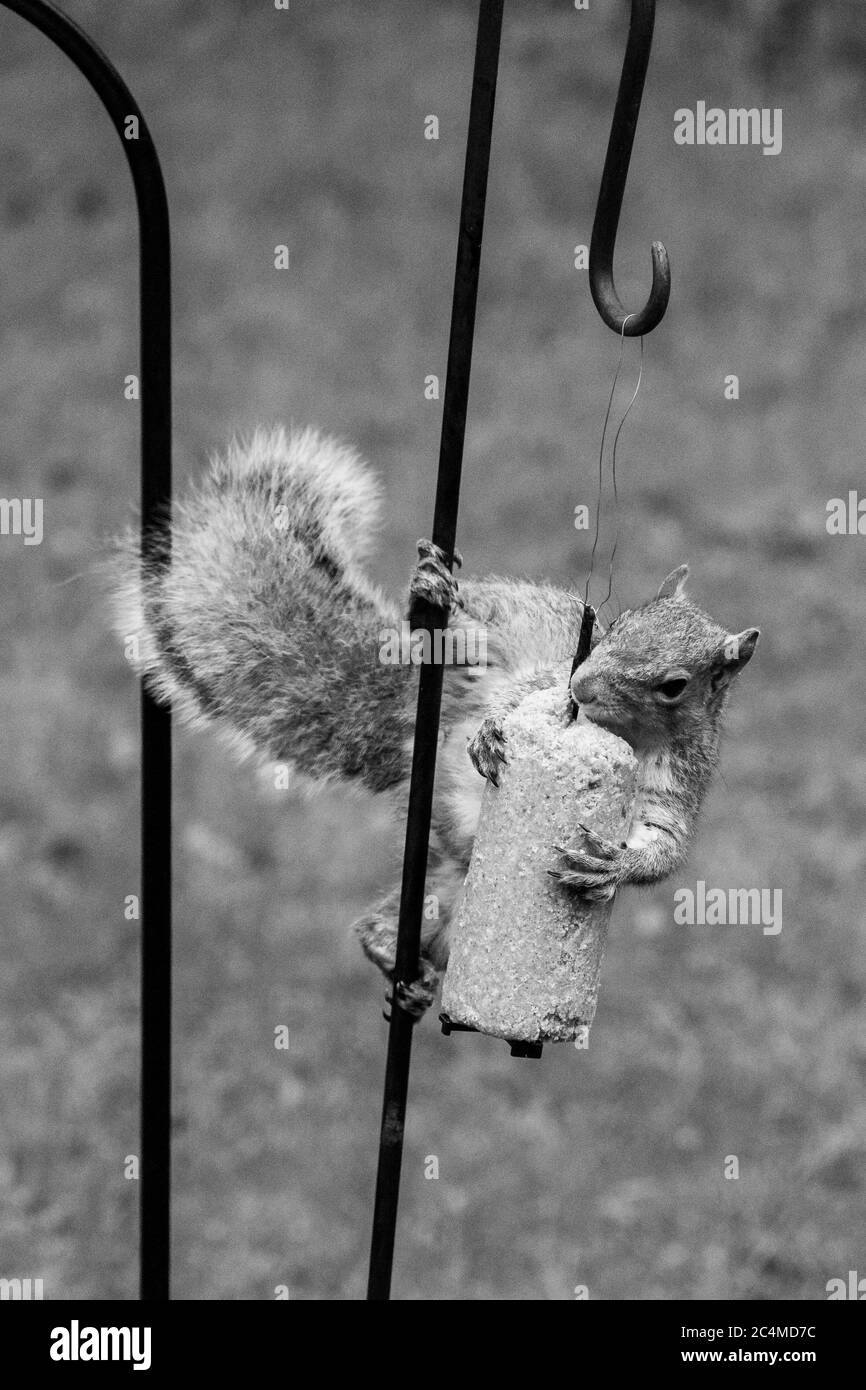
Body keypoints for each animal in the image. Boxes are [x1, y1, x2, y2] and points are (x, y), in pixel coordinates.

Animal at [113, 426, 759, 1017]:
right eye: (618, 624)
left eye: (674, 687)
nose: (583, 686)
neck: (622, 732)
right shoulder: (548, 680)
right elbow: (521, 696)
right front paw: (492, 733)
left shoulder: (679, 780)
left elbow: (664, 844)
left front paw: (614, 864)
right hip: (493, 623)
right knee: (463, 619)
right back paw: (433, 592)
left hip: (448, 893)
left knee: (384, 927)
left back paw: (404, 971)